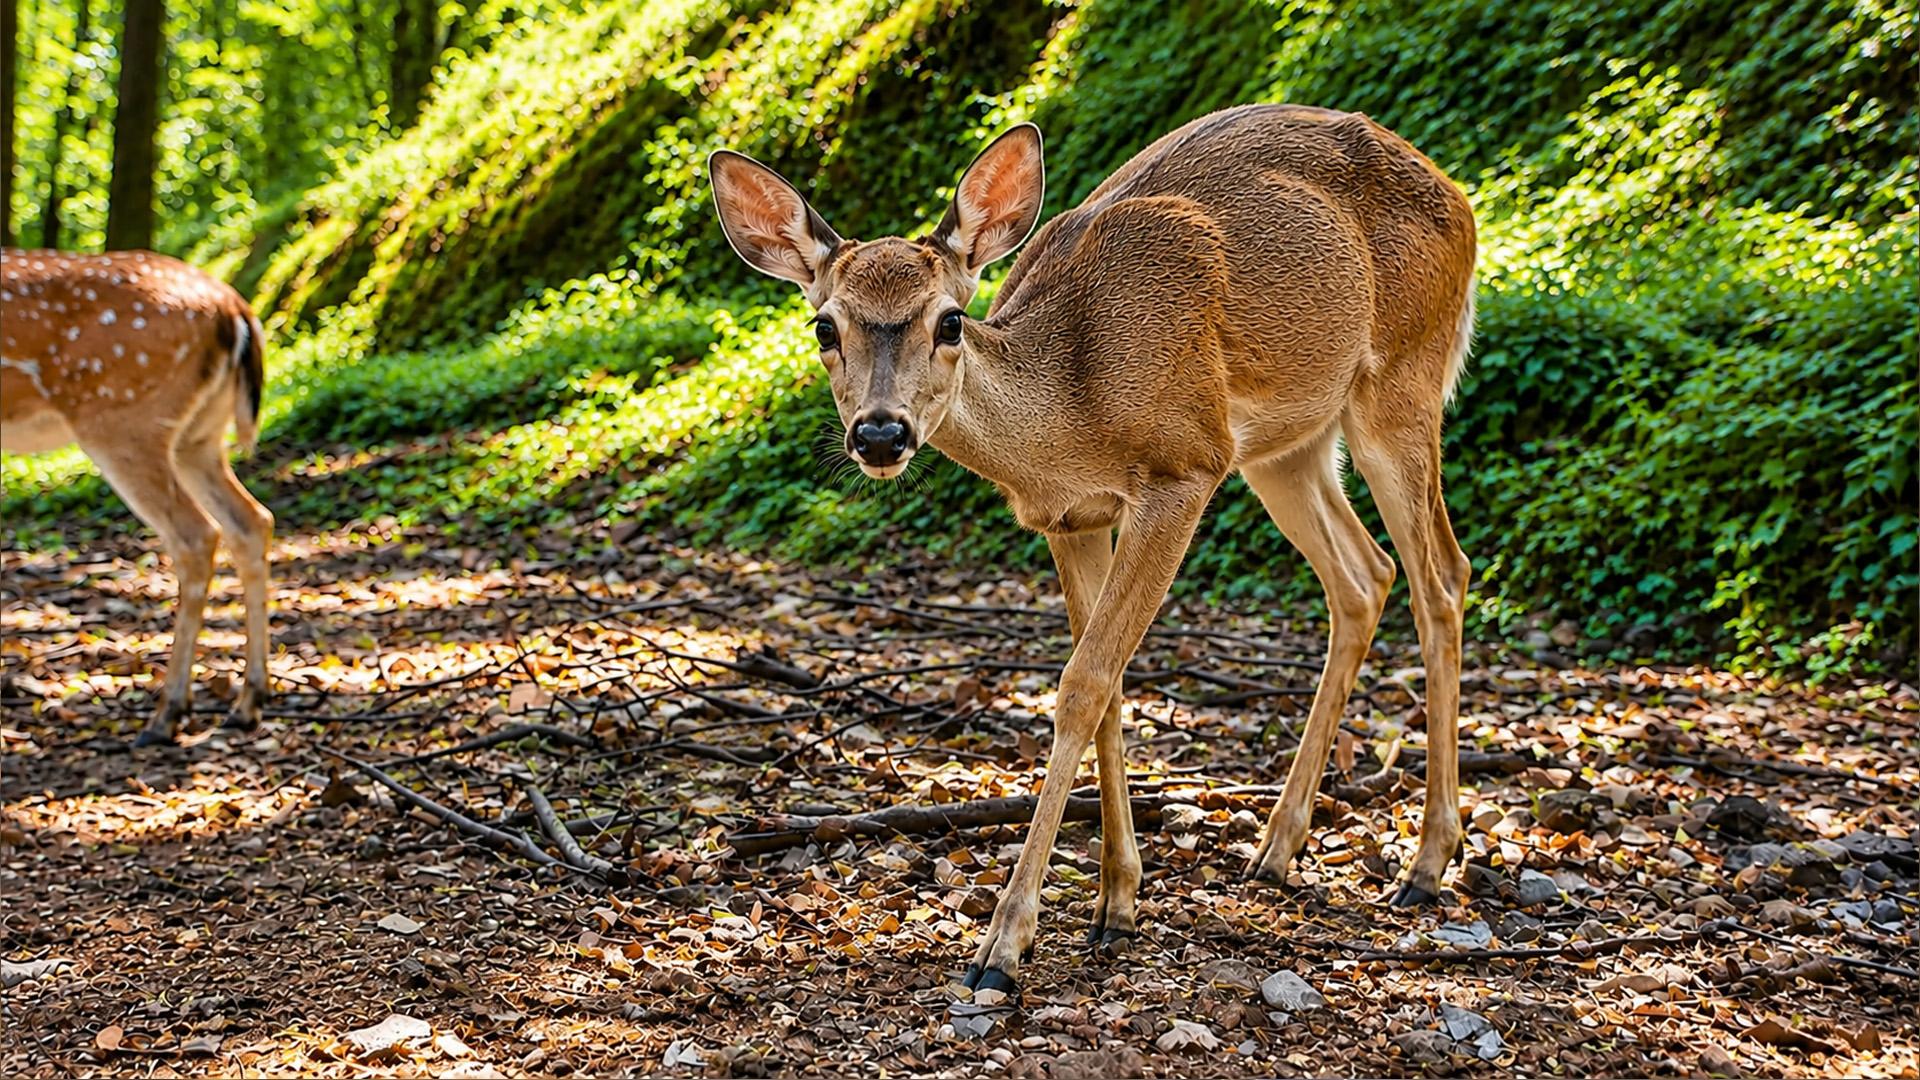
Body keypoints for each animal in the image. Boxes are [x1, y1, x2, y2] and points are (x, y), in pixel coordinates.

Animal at [2, 248, 274, 748]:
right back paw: (247, 704)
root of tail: (236, 309)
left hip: (122, 418)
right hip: (199, 435)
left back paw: (167, 715)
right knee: (251, 519)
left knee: (196, 533)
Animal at [710, 103, 1477, 996]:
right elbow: (1105, 686)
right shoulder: (1073, 519)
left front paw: (1003, 945)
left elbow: (1082, 684)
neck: (1076, 410)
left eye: (949, 320)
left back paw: (1427, 863)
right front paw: (1116, 902)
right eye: (824, 325)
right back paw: (1276, 851)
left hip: (1401, 379)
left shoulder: (1183, 467)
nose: (879, 433)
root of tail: (1459, 196)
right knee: (1363, 576)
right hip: (1288, 443)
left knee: (1441, 573)